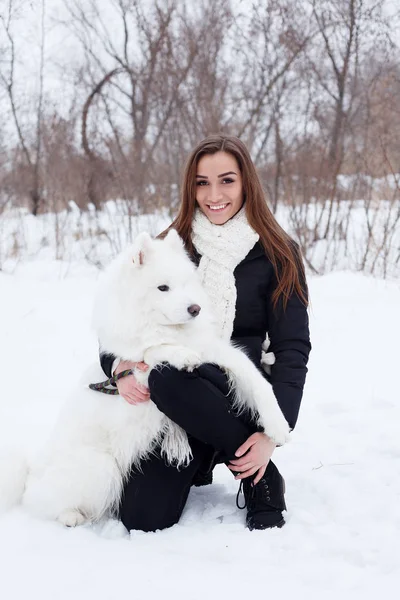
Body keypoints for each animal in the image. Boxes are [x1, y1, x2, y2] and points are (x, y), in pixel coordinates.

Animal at [0, 230, 288, 524]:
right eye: (163, 288)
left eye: (186, 284)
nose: (195, 309)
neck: (165, 328)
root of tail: (32, 471)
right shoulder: (138, 363)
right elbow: (154, 351)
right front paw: (182, 356)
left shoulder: (217, 350)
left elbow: (256, 380)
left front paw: (277, 426)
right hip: (101, 468)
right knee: (46, 502)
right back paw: (71, 516)